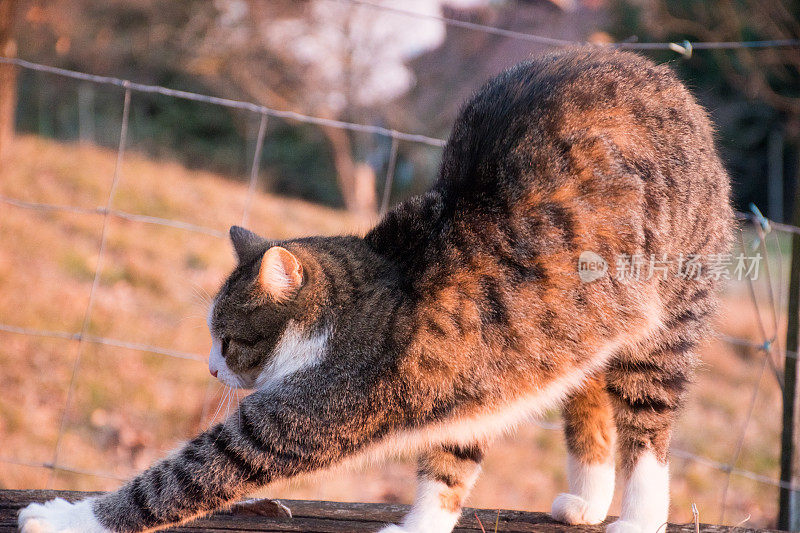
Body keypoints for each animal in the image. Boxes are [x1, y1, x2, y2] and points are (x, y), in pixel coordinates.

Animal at [17, 47, 732, 532]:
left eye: (229, 337)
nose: (211, 367)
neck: (360, 300)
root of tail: (665, 79)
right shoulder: (470, 389)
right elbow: (449, 468)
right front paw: (421, 526)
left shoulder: (304, 415)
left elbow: (182, 477)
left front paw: (66, 518)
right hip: (576, 337)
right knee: (587, 401)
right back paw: (586, 501)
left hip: (666, 323)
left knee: (650, 432)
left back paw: (638, 515)